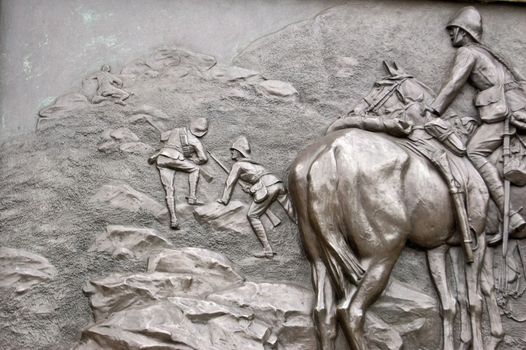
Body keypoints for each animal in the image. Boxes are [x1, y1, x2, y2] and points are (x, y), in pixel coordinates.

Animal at [288, 63, 504, 350]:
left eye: (378, 85)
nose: (351, 113)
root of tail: (327, 153)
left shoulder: (438, 248)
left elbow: (450, 303)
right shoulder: (476, 240)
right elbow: (474, 300)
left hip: (320, 259)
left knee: (324, 313)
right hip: (381, 254)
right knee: (350, 310)